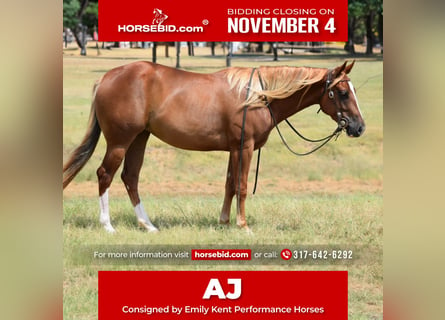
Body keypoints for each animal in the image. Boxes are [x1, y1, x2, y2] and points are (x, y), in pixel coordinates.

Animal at [62, 60, 364, 232]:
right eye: (343, 92)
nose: (359, 127)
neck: (259, 96)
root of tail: (106, 78)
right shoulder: (244, 147)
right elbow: (241, 185)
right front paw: (243, 225)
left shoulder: (234, 149)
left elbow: (229, 184)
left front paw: (224, 221)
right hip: (120, 141)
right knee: (105, 175)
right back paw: (108, 226)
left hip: (139, 138)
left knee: (130, 177)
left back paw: (148, 225)